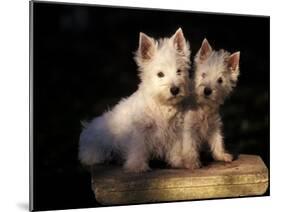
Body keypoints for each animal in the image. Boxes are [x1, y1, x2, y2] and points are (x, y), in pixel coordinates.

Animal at [79, 28, 190, 172]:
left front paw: (179, 161)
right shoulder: (140, 131)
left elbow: (176, 148)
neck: (161, 104)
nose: (175, 89)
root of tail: (87, 127)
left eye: (179, 71)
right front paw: (137, 166)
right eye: (160, 74)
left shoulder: (175, 130)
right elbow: (139, 148)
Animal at [182, 39, 238, 170]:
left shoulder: (214, 126)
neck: (204, 107)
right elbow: (189, 144)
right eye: (203, 75)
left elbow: (218, 140)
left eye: (220, 80)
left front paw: (222, 155)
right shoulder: (189, 127)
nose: (207, 90)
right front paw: (192, 162)